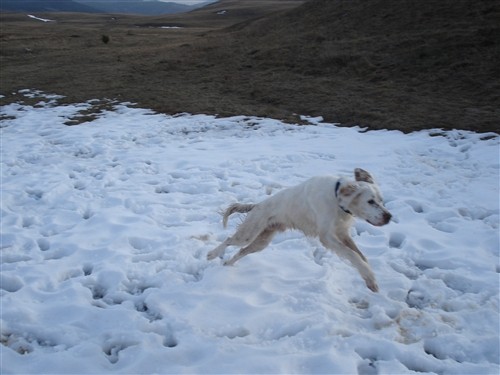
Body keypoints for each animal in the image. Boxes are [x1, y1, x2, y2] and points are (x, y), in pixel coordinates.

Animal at [207, 168, 390, 294]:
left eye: (381, 200)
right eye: (370, 201)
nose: (389, 217)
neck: (337, 198)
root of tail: (256, 205)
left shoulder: (342, 234)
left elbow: (361, 256)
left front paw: (370, 278)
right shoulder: (327, 237)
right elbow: (353, 255)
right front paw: (370, 277)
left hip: (261, 242)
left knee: (241, 252)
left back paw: (227, 264)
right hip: (248, 233)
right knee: (229, 240)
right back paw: (212, 254)